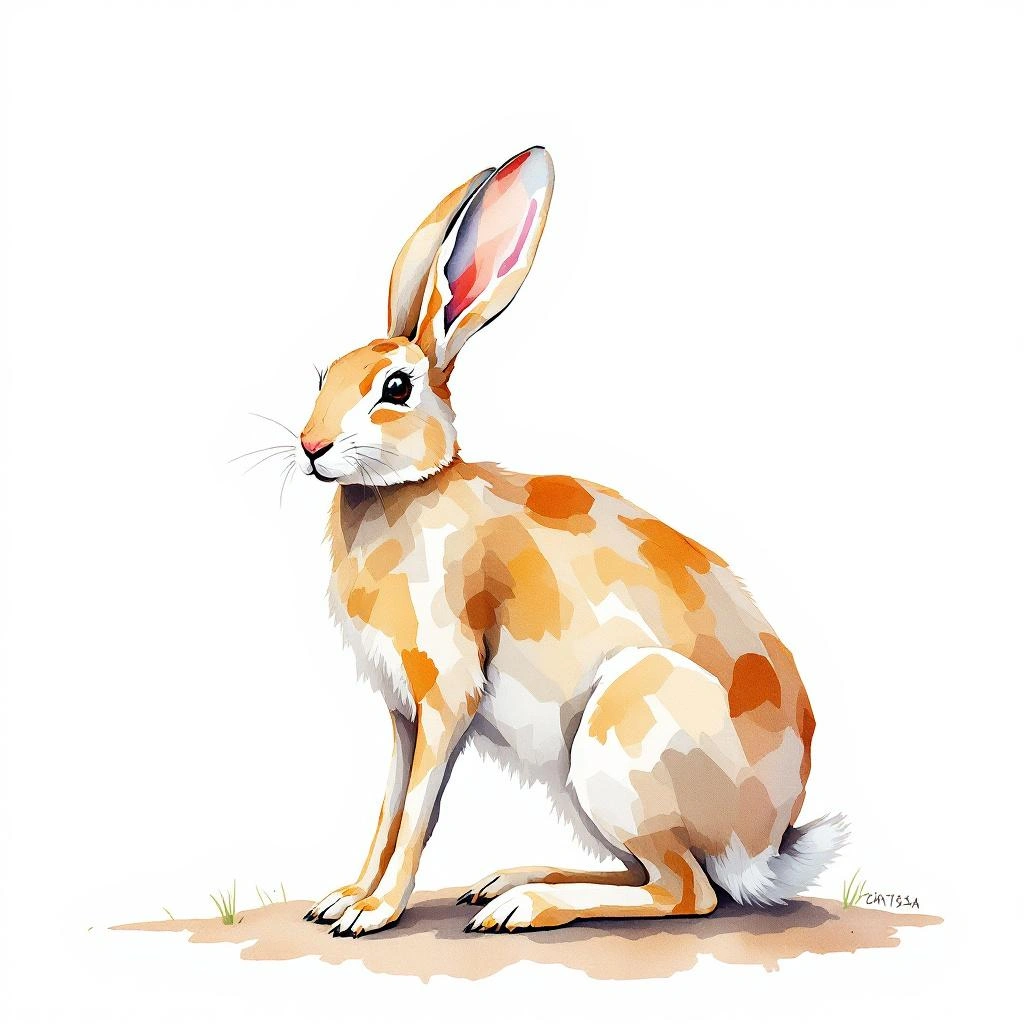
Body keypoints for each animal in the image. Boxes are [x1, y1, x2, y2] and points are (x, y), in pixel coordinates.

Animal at [295, 146, 845, 936]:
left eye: (396, 388)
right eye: (323, 376)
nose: (310, 446)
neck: (409, 487)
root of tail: (764, 844)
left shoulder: (446, 693)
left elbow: (420, 812)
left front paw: (373, 913)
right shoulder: (402, 713)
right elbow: (389, 808)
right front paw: (343, 898)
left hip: (623, 737)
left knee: (686, 891)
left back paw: (524, 905)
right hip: (583, 787)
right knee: (654, 874)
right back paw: (507, 881)